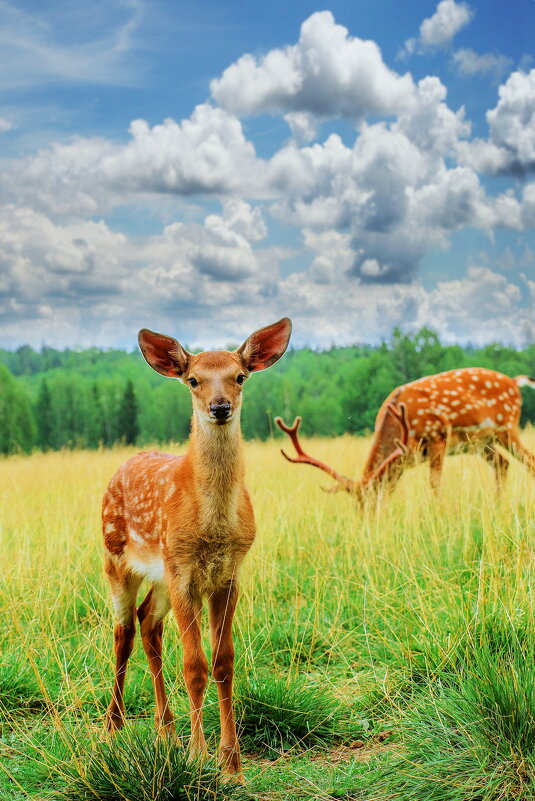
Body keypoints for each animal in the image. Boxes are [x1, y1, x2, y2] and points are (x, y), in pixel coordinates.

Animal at [102, 316, 292, 780]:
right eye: (193, 380)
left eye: (240, 376)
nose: (220, 407)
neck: (213, 525)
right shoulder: (184, 573)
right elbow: (194, 666)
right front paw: (198, 757)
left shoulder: (228, 574)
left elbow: (223, 663)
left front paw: (231, 764)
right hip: (116, 558)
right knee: (123, 632)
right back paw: (113, 728)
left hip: (162, 577)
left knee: (148, 624)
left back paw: (165, 730)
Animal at [276, 368, 535, 500]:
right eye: (356, 504)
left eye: (371, 498)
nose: (366, 522)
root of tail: (515, 382)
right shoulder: (403, 459)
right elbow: (394, 485)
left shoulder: (437, 437)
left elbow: (434, 484)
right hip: (481, 443)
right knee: (502, 463)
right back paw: (498, 504)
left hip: (506, 427)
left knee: (529, 461)